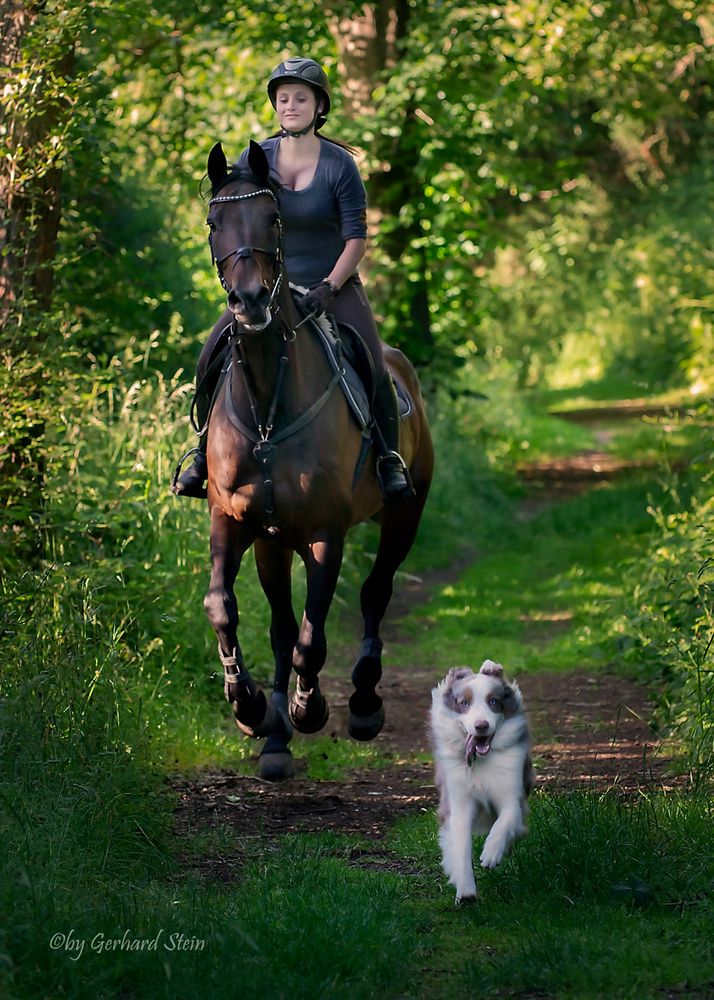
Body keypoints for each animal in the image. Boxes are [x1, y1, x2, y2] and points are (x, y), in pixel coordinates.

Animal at [200, 141, 434, 780]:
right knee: (283, 626)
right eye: (215, 223)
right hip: (275, 541)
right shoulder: (235, 522)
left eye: (273, 219)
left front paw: (309, 708)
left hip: (404, 515)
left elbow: (314, 639)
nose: (251, 302)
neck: (268, 407)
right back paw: (276, 739)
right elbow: (225, 608)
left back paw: (362, 706)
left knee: (375, 593)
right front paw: (251, 707)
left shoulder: (326, 533)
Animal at [428, 660, 528, 904]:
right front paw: (466, 892)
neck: (481, 761)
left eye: (493, 701)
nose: (481, 725)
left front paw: (491, 853)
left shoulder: (512, 793)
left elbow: (506, 819)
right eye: (464, 703)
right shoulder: (458, 801)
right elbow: (461, 845)